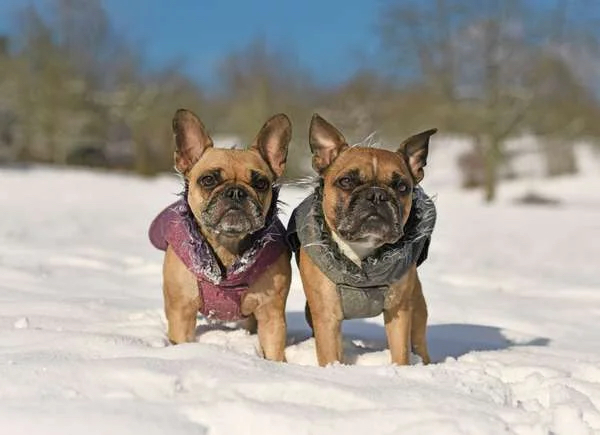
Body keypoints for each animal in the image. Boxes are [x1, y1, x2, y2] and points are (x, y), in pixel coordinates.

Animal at [149, 109, 292, 362]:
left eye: (261, 183)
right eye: (208, 180)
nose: (236, 192)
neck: (227, 247)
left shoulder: (271, 314)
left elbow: (274, 349)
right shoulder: (181, 312)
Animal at [290, 114, 436, 366]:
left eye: (402, 187)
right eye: (346, 181)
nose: (377, 195)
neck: (361, 255)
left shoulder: (399, 312)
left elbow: (400, 353)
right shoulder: (327, 315)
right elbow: (330, 353)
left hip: (416, 309)